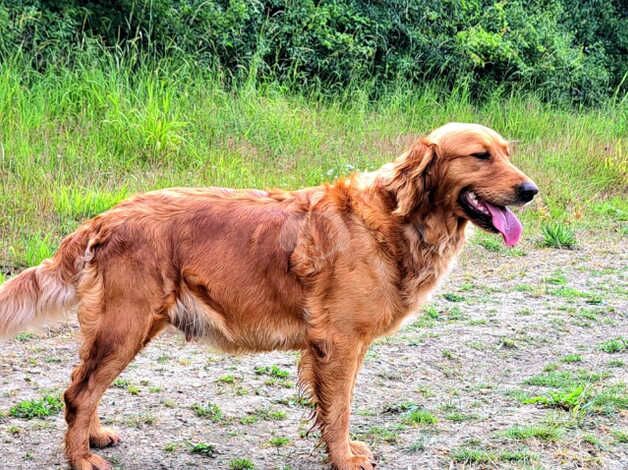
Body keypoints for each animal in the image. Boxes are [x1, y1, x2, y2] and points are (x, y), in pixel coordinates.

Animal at [1, 123, 540, 468]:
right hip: (125, 325)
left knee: (82, 386)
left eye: (507, 152)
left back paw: (94, 436)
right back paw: (81, 458)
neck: (397, 219)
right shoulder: (338, 343)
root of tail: (106, 216)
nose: (531, 190)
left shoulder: (345, 346)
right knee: (78, 391)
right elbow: (339, 411)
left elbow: (336, 409)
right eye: (480, 156)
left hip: (124, 328)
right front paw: (343, 459)